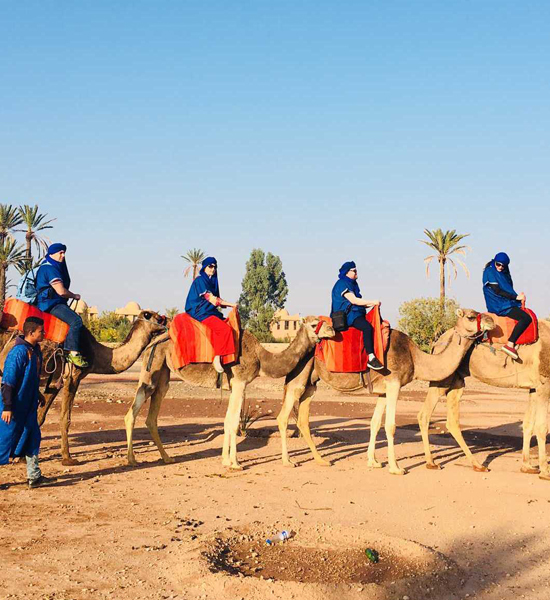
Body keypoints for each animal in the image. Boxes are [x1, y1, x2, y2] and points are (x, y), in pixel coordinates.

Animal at [0, 310, 168, 464]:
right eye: (155, 317)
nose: (167, 320)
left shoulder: (54, 381)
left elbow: (40, 417)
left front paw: (23, 457)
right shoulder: (72, 377)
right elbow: (65, 418)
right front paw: (67, 458)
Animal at [124, 316, 336, 472]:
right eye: (314, 324)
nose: (332, 330)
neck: (261, 358)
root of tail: (153, 341)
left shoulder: (235, 385)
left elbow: (227, 421)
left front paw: (225, 460)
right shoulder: (240, 382)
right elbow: (234, 422)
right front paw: (235, 463)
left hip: (163, 375)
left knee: (151, 415)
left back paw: (166, 458)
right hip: (152, 368)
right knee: (133, 412)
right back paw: (132, 460)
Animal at [278, 310, 498, 474]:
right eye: (471, 316)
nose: (491, 321)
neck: (415, 358)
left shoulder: (383, 391)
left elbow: (375, 423)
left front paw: (373, 461)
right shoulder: (394, 383)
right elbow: (390, 426)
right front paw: (396, 467)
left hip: (311, 383)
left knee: (302, 418)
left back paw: (321, 460)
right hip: (300, 376)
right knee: (284, 416)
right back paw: (288, 462)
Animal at [418, 322, 550, 480]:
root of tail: (438, 341)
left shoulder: (533, 388)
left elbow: (528, 424)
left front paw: (527, 466)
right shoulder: (544, 384)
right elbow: (542, 427)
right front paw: (545, 471)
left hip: (457, 380)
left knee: (452, 421)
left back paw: (477, 465)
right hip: (443, 377)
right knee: (424, 415)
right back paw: (431, 463)